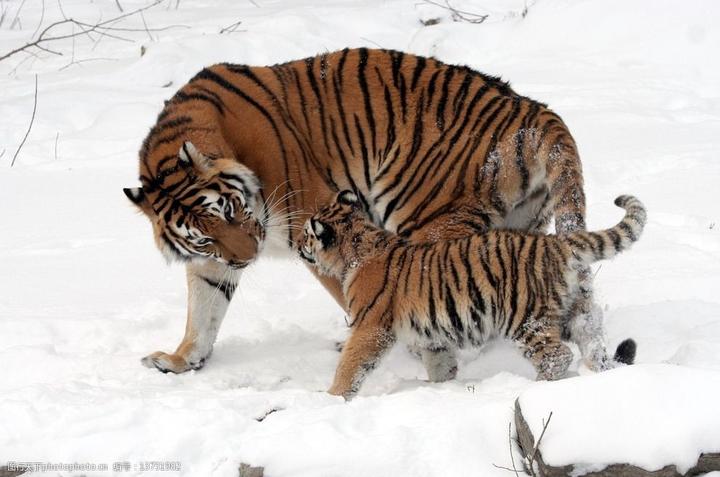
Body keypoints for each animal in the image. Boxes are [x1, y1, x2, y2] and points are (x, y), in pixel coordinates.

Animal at [125, 47, 596, 376]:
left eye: (229, 210)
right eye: (204, 236)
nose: (247, 257)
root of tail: (533, 110)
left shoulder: (314, 222)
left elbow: (351, 290)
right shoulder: (212, 260)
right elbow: (203, 311)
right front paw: (181, 360)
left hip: (426, 217)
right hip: (523, 225)